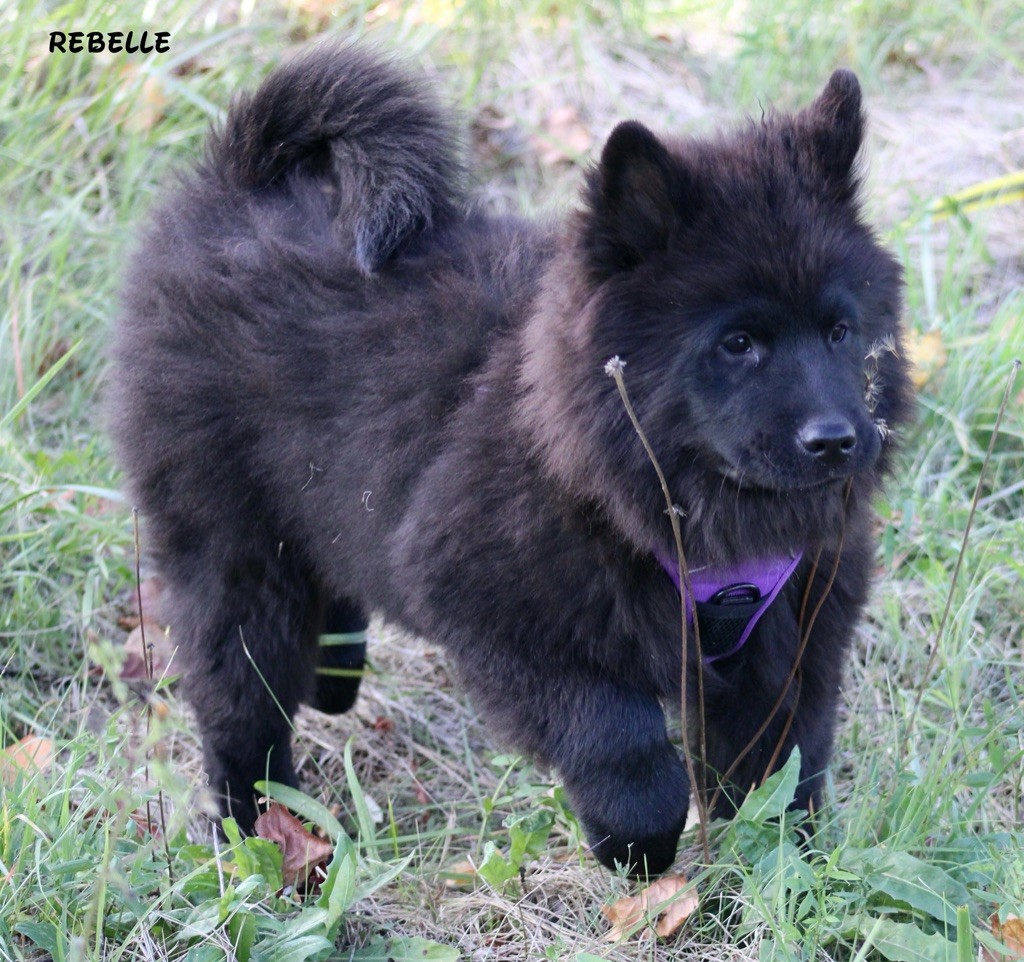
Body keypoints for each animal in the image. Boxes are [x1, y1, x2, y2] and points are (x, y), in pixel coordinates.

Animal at [107, 44, 912, 876]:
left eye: (840, 332)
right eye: (739, 343)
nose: (835, 439)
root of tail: (242, 178)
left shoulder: (795, 633)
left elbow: (780, 767)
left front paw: (784, 867)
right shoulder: (496, 613)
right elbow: (616, 736)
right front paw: (639, 844)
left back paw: (333, 672)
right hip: (228, 537)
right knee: (238, 693)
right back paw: (253, 825)